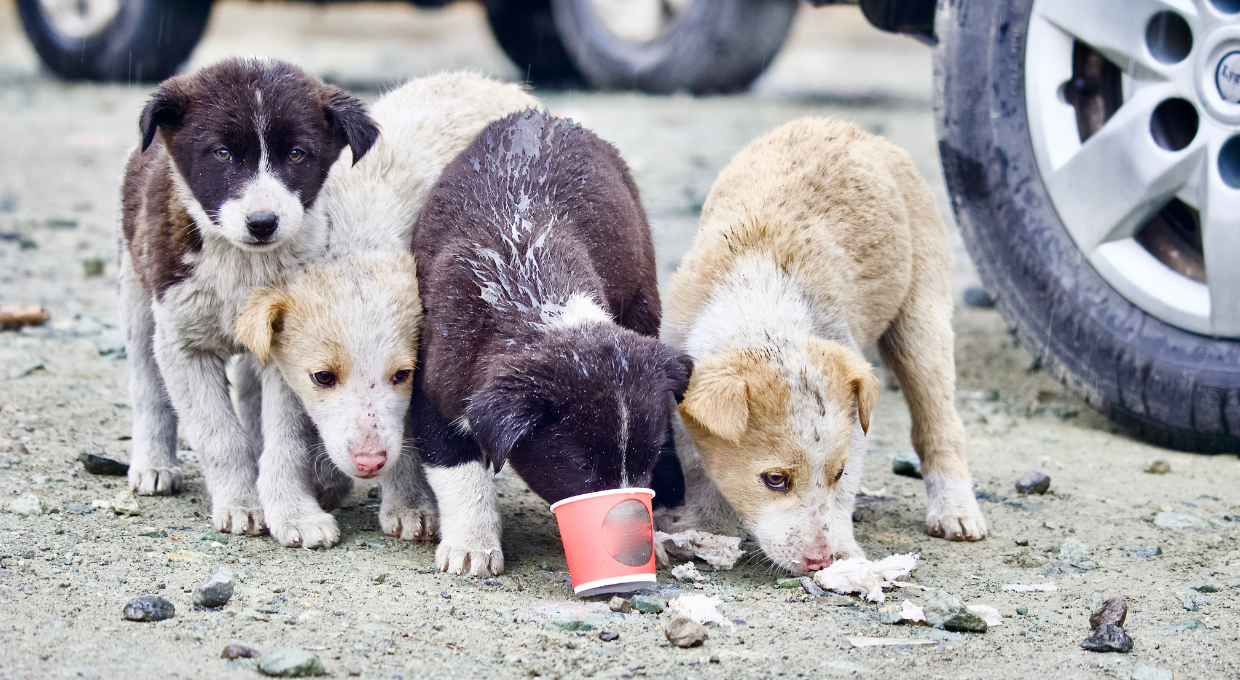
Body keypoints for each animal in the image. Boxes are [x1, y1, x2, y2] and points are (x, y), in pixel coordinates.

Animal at [124, 58, 381, 533]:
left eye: (296, 154)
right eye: (222, 154)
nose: (262, 223)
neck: (242, 263)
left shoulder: (288, 350)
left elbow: (287, 440)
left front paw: (295, 512)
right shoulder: (183, 342)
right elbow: (220, 436)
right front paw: (241, 503)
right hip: (135, 293)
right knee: (147, 384)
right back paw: (153, 463)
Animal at [411, 110, 694, 573]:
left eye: (645, 460)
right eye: (580, 463)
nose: (628, 536)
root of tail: (546, 116)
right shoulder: (435, 383)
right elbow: (457, 467)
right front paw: (472, 545)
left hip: (641, 291)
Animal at [664, 116, 992, 573]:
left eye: (837, 474)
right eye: (775, 479)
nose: (820, 561)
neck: (762, 312)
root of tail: (849, 127)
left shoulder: (855, 425)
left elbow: (843, 493)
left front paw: (843, 549)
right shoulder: (682, 392)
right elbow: (698, 466)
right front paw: (705, 526)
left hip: (922, 314)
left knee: (939, 421)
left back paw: (955, 510)